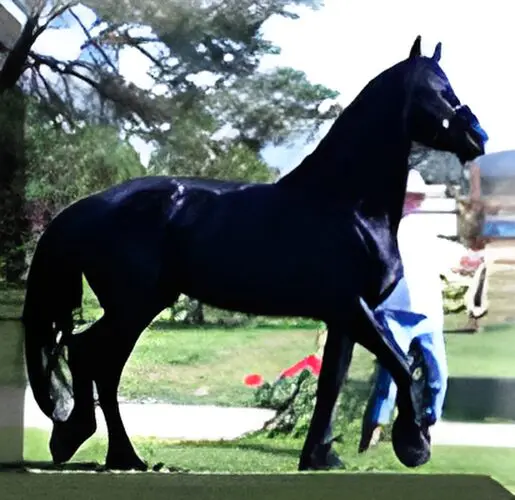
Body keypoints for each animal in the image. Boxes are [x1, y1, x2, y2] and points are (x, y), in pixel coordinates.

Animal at [21, 37, 488, 470]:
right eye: (434, 91)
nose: (477, 138)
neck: (348, 205)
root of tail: (89, 205)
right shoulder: (352, 308)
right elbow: (400, 364)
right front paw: (414, 444)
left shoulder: (342, 319)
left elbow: (331, 385)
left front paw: (318, 457)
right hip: (134, 306)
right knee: (91, 355)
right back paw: (110, 449)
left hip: (137, 307)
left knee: (99, 360)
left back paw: (97, 446)